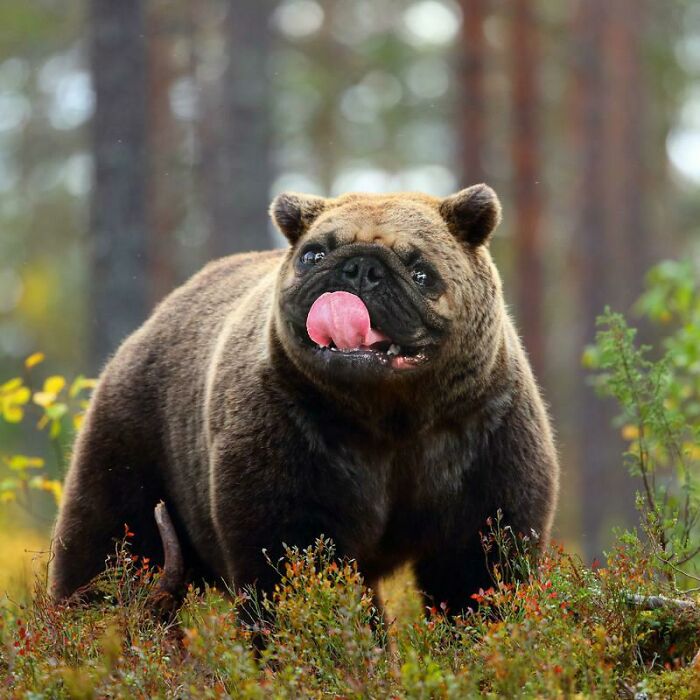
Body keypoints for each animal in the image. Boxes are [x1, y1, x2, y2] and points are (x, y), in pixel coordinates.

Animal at [50, 184, 559, 616]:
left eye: (420, 269)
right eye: (315, 253)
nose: (360, 269)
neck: (392, 416)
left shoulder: (477, 436)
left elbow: (481, 563)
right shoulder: (296, 432)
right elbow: (293, 555)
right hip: (143, 440)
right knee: (110, 544)